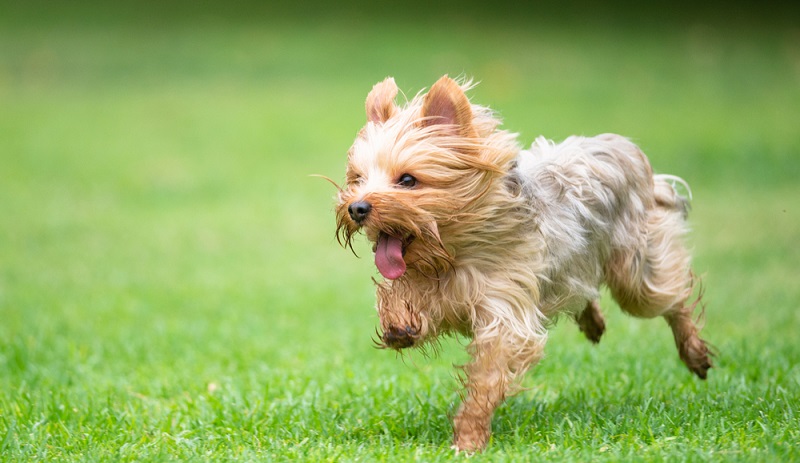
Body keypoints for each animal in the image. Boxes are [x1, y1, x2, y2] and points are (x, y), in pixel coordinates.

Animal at [334, 76, 708, 454]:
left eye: (408, 180)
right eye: (358, 178)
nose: (357, 207)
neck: (453, 252)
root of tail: (621, 146)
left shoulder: (505, 309)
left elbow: (488, 375)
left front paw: (469, 438)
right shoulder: (434, 280)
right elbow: (401, 293)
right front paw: (400, 324)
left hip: (635, 270)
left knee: (671, 299)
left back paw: (694, 351)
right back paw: (592, 321)